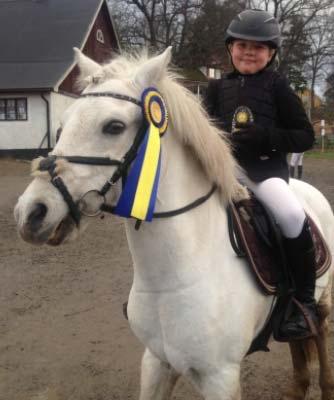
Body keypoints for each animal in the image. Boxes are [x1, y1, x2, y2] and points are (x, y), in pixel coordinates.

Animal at [13, 47, 334, 400]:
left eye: (113, 126)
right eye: (62, 125)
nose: (32, 212)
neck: (171, 277)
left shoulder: (221, 377)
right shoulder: (156, 361)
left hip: (322, 305)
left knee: (320, 346)